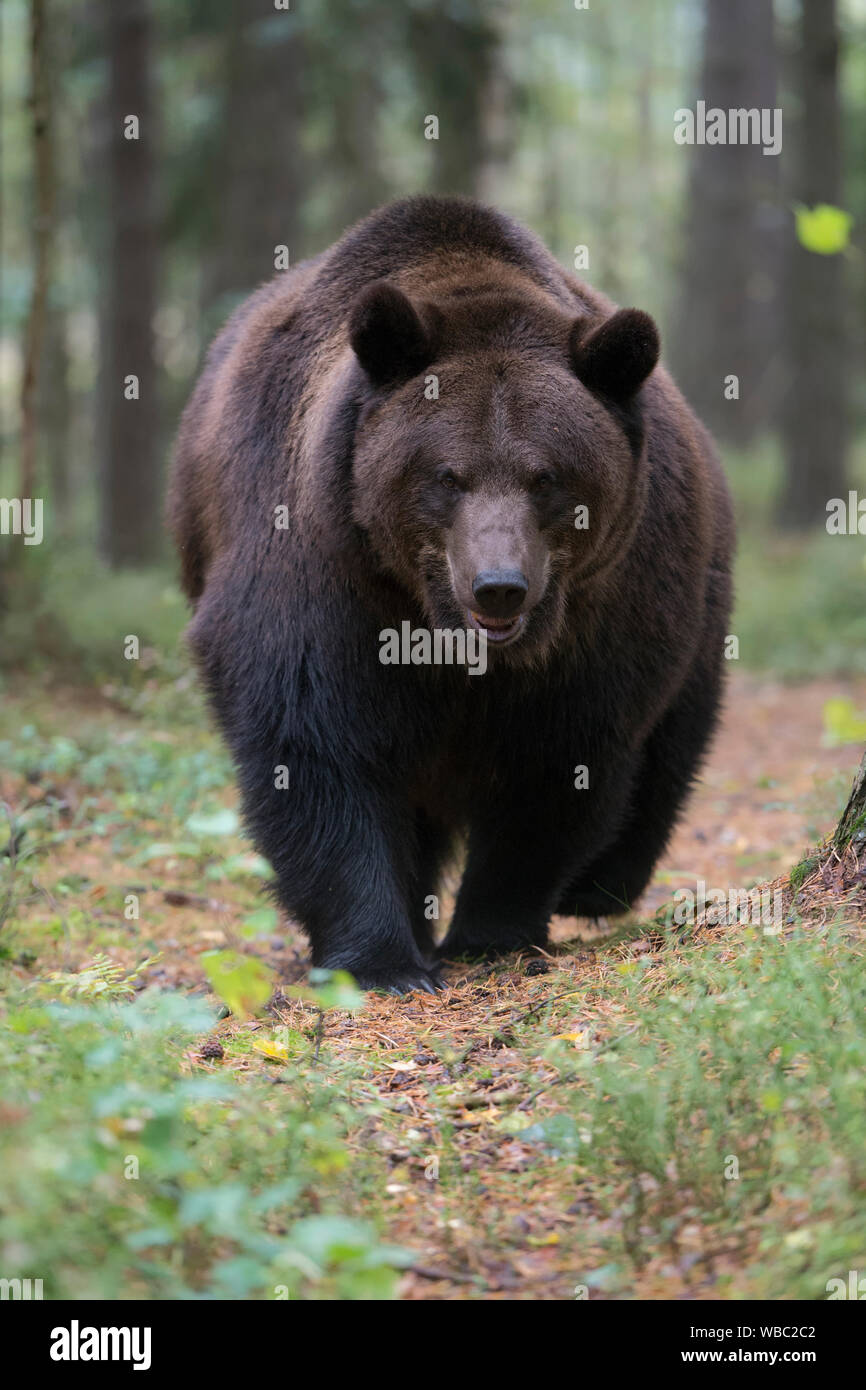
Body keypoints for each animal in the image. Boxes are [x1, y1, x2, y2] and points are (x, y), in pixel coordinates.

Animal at [168, 195, 734, 994]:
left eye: (546, 475)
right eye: (447, 475)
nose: (499, 588)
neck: (441, 629)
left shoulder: (605, 607)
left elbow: (560, 760)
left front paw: (494, 931)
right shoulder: (322, 564)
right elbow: (315, 746)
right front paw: (381, 958)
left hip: (699, 590)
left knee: (672, 747)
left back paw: (597, 886)